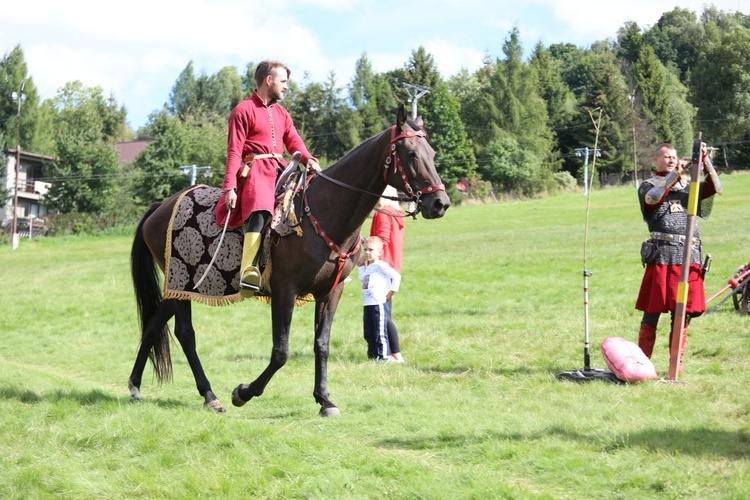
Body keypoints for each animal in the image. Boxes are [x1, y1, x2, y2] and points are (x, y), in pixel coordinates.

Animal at [128, 103, 452, 416]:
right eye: (410, 153)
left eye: (432, 153)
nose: (440, 203)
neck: (323, 212)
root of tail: (162, 205)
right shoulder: (285, 292)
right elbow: (281, 352)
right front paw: (243, 393)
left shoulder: (331, 292)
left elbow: (321, 344)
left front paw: (324, 399)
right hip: (183, 283)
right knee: (185, 334)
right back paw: (210, 396)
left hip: (178, 287)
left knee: (154, 323)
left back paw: (135, 386)